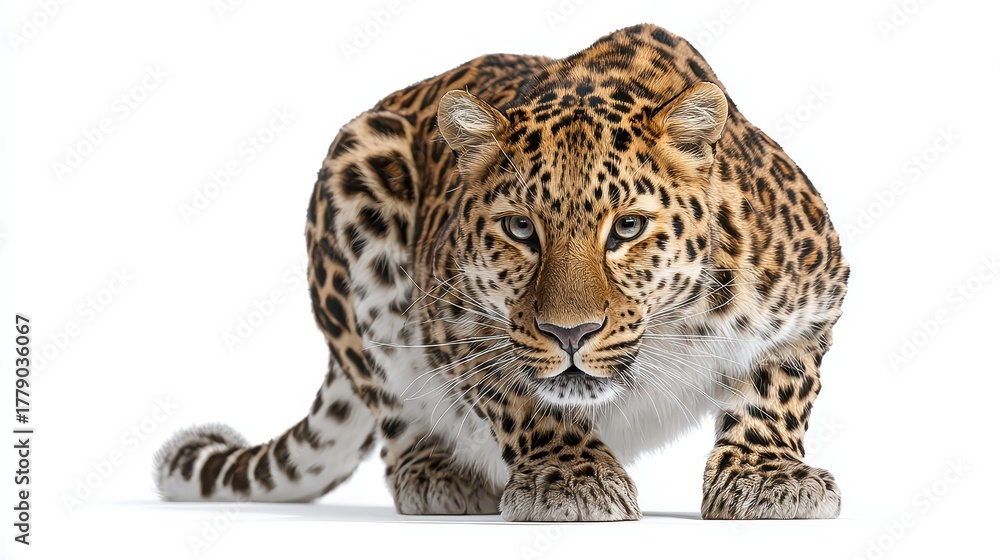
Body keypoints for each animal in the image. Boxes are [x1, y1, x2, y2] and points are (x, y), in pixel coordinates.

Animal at [154, 24, 849, 521]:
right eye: (520, 229)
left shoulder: (816, 299)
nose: (570, 334)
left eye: (627, 228)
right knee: (391, 400)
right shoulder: (456, 323)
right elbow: (519, 397)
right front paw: (569, 477)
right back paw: (439, 475)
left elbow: (778, 387)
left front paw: (768, 477)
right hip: (355, 178)